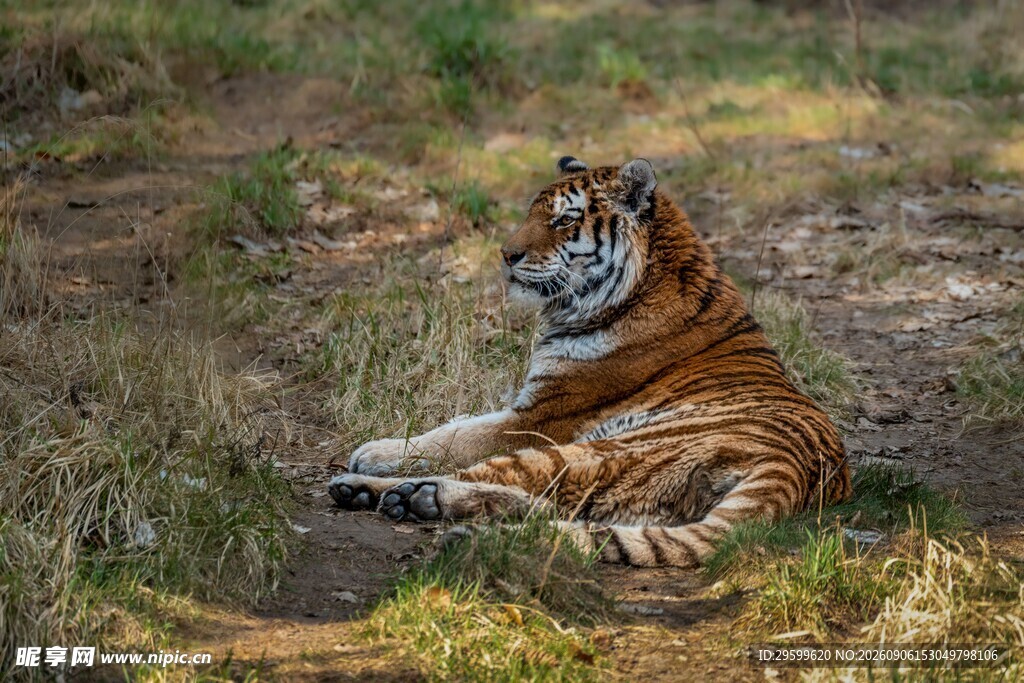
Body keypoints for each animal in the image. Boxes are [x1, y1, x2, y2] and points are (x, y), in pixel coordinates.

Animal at [327, 155, 850, 567]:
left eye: (563, 221)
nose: (505, 255)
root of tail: (793, 467)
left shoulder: (538, 417)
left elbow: (456, 436)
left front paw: (374, 450)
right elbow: (456, 422)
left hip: (594, 450)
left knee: (511, 483)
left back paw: (390, 491)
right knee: (554, 511)